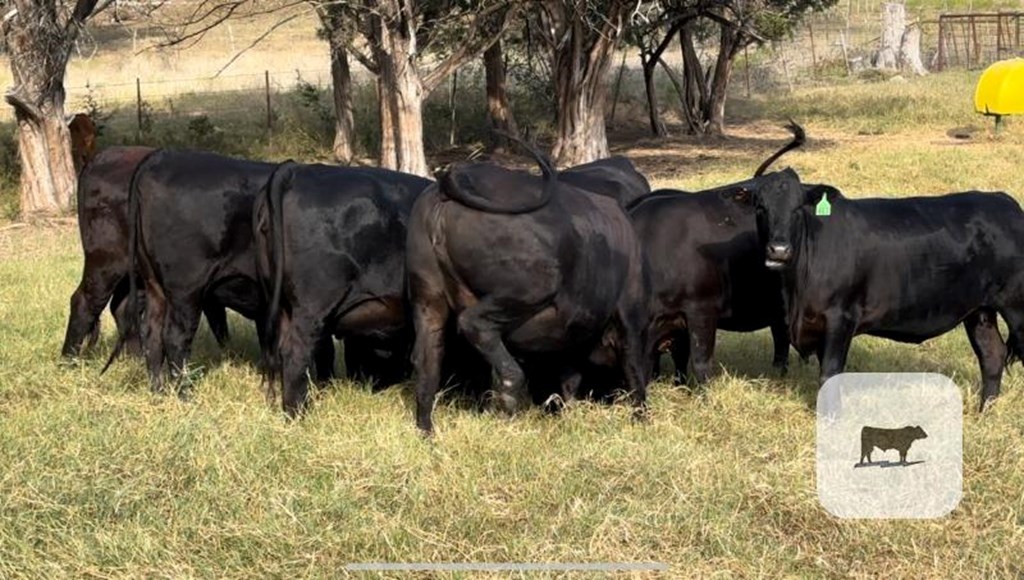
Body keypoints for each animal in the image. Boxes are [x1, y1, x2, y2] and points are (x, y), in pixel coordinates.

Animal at [62, 146, 231, 358]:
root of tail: (103, 155)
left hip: (134, 273)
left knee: (123, 307)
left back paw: (136, 355)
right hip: (105, 260)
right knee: (85, 301)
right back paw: (69, 359)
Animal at [405, 146, 647, 436]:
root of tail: (452, 179)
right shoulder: (628, 316)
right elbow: (634, 370)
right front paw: (641, 418)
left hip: (428, 301)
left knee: (427, 361)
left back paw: (427, 431)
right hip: (535, 285)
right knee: (475, 324)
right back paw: (510, 393)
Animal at [741, 169, 1024, 413]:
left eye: (797, 208)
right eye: (760, 208)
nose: (778, 250)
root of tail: (1004, 201)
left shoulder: (840, 317)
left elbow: (830, 372)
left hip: (1015, 306)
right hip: (980, 311)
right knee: (992, 355)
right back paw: (984, 412)